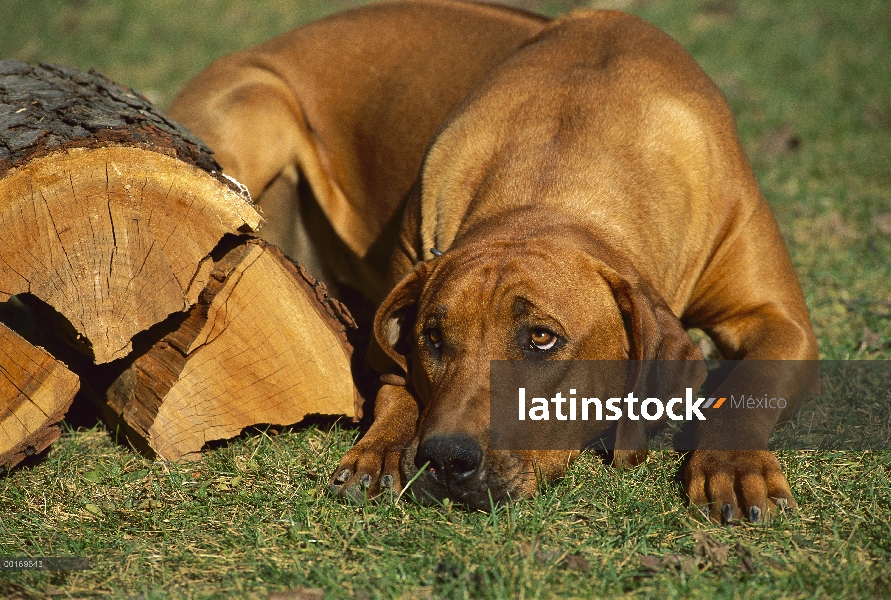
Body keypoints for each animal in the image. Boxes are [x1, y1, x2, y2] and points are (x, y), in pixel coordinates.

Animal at [332, 10, 820, 524]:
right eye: (432, 337)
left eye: (541, 338)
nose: (446, 458)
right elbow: (393, 378)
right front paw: (384, 444)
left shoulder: (781, 321)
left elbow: (752, 383)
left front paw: (734, 461)